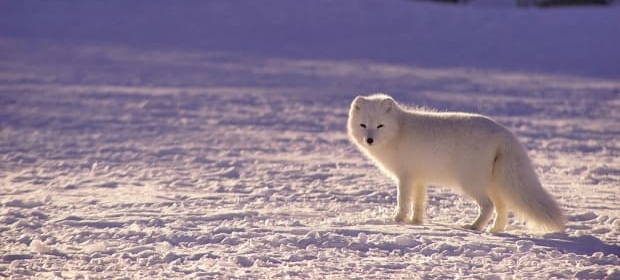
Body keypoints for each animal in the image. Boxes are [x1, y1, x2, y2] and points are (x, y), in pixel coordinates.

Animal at [348, 93, 568, 233]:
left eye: (380, 126)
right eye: (363, 125)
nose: (369, 140)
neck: (399, 130)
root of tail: (505, 133)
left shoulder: (405, 177)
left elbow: (403, 201)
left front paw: (398, 220)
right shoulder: (419, 178)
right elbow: (418, 203)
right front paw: (416, 222)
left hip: (470, 183)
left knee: (488, 206)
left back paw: (474, 227)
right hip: (494, 184)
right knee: (502, 208)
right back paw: (495, 230)